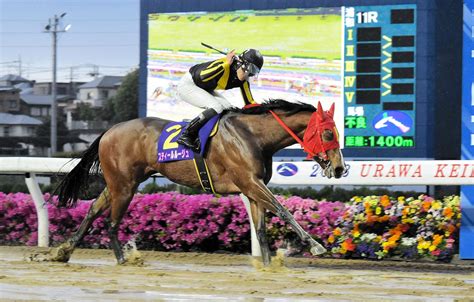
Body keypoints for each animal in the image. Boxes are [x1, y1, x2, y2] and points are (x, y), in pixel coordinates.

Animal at [51, 98, 344, 264]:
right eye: (329, 134)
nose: (340, 168)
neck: (253, 135)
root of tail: (108, 131)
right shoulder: (250, 182)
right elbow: (283, 210)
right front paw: (316, 245)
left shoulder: (253, 188)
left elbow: (260, 229)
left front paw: (268, 264)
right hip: (124, 186)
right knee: (111, 222)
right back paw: (123, 258)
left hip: (120, 183)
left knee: (92, 210)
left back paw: (64, 252)